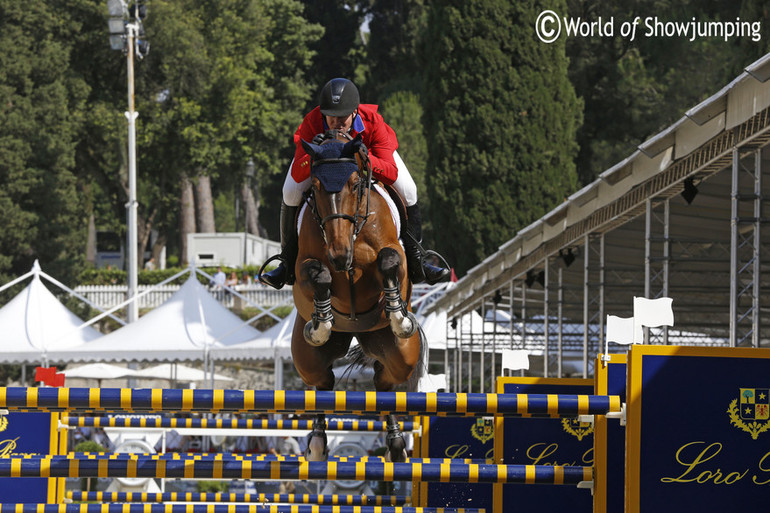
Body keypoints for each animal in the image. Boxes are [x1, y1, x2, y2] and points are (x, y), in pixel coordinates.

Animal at [290, 130, 420, 462]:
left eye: (354, 183)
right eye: (316, 186)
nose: (339, 256)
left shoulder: (395, 257)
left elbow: (389, 259)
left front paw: (399, 317)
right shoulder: (303, 266)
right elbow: (318, 274)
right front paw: (321, 323)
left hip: (400, 353)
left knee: (385, 382)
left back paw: (396, 444)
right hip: (307, 359)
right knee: (323, 384)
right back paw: (317, 444)